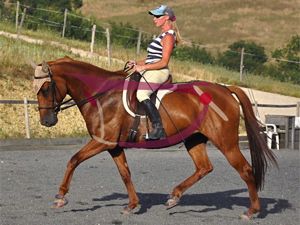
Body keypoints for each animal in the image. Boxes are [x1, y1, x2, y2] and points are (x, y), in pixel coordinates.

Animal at [34, 56, 276, 220]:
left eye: (45, 88)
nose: (46, 121)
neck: (102, 96)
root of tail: (225, 90)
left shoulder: (102, 142)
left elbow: (73, 160)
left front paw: (60, 197)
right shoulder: (113, 146)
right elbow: (125, 173)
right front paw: (132, 205)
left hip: (226, 142)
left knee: (245, 170)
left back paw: (251, 211)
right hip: (194, 139)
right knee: (204, 167)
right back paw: (174, 196)